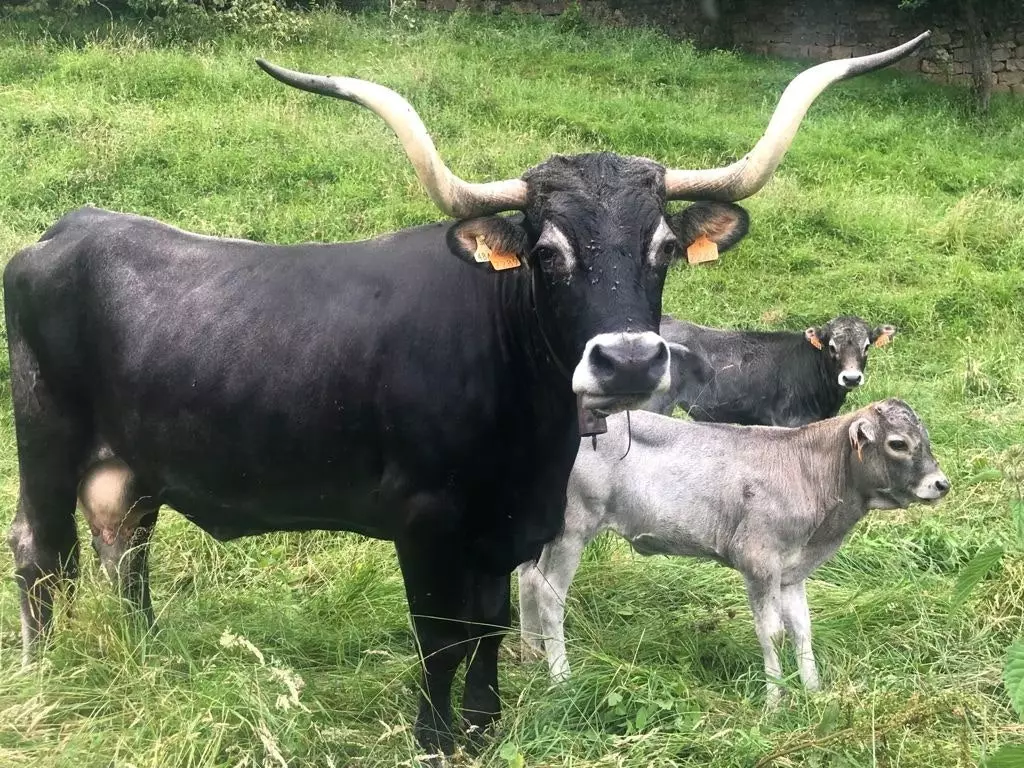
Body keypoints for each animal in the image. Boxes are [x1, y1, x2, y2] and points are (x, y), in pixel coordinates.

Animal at [520, 399, 950, 708]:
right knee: (548, 593)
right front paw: (776, 702)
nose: (941, 483)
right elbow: (773, 633)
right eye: (898, 443)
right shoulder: (759, 562)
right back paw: (561, 680)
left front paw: (814, 693)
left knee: (526, 581)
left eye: (926, 438)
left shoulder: (792, 572)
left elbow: (802, 630)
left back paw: (528, 657)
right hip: (572, 529)